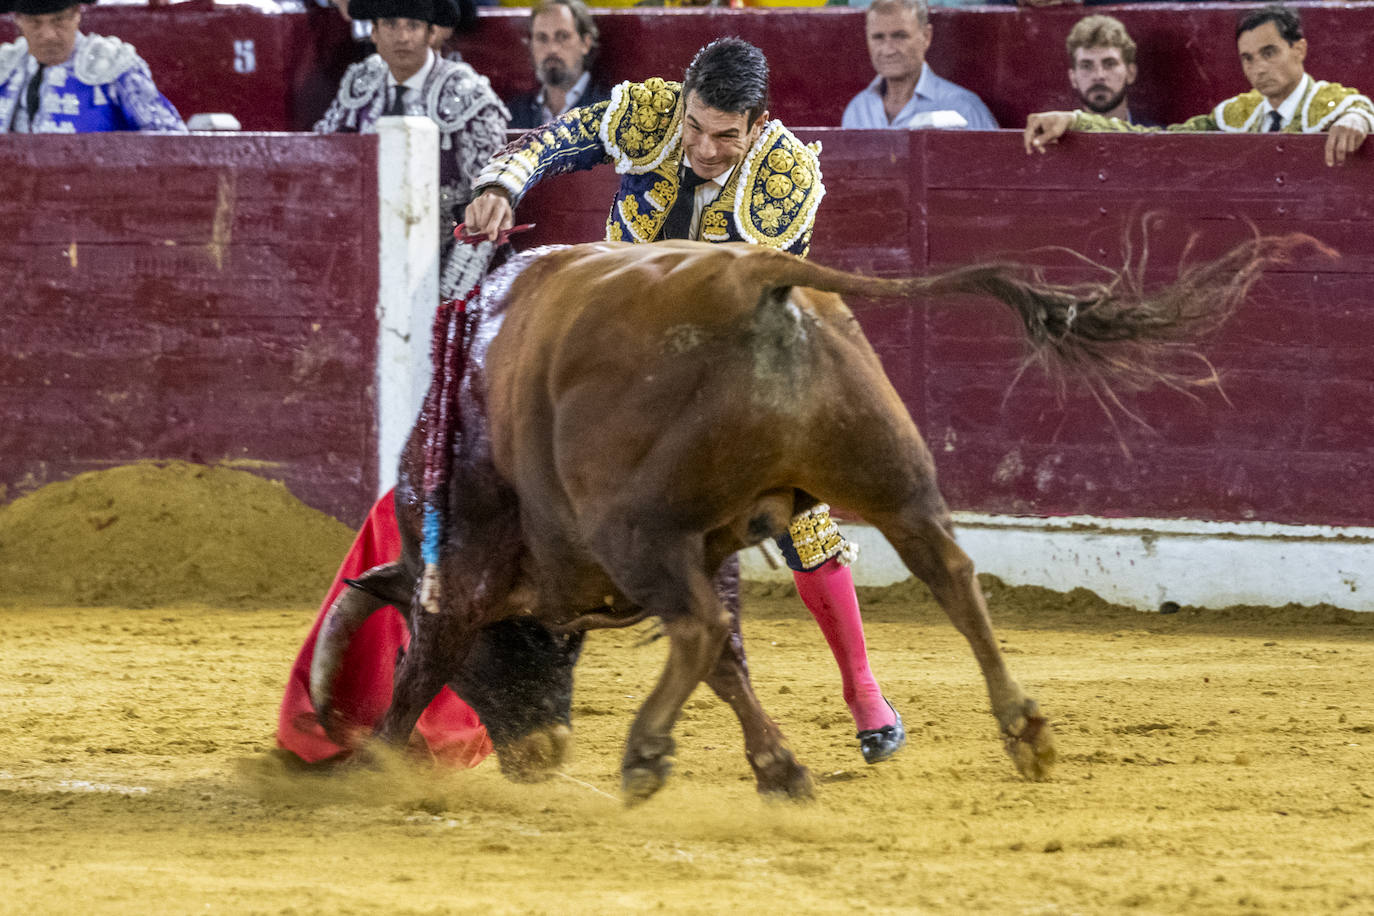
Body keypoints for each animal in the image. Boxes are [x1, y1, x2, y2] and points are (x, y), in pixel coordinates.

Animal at [311, 236, 1308, 802]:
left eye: (503, 657)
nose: (542, 756)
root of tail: (756, 269)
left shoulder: (465, 576)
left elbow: (422, 666)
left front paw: (374, 766)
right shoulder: (705, 548)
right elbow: (730, 662)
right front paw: (782, 771)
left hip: (636, 529)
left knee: (700, 626)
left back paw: (644, 755)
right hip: (890, 475)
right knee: (950, 574)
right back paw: (1023, 730)